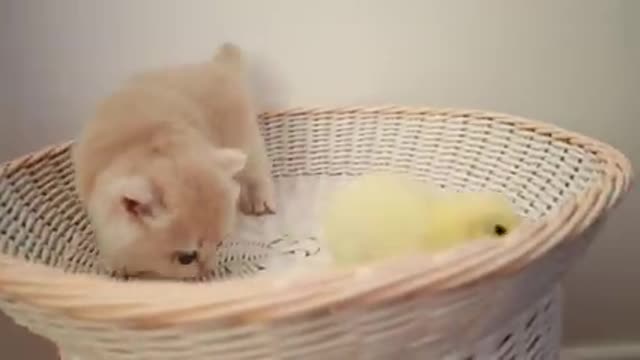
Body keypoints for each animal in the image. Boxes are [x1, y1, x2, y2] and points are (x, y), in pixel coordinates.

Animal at [72, 43, 276, 280]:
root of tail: (217, 66)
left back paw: (261, 200)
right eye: (186, 258)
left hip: (244, 139)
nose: (209, 270)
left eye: (220, 244)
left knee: (256, 170)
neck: (140, 144)